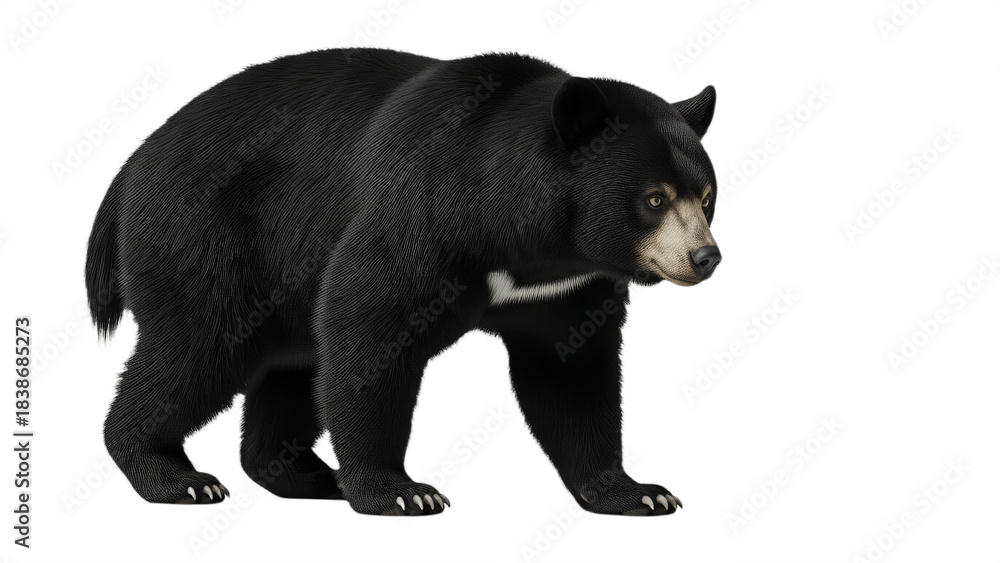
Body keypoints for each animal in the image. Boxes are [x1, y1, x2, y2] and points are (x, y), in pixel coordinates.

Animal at [85, 48, 721, 516]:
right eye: (654, 199)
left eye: (707, 195)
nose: (705, 257)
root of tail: (129, 167)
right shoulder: (423, 214)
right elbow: (367, 330)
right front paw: (399, 490)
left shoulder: (567, 286)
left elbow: (572, 372)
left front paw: (636, 491)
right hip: (208, 239)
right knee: (200, 349)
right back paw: (174, 475)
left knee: (291, 365)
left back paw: (306, 475)